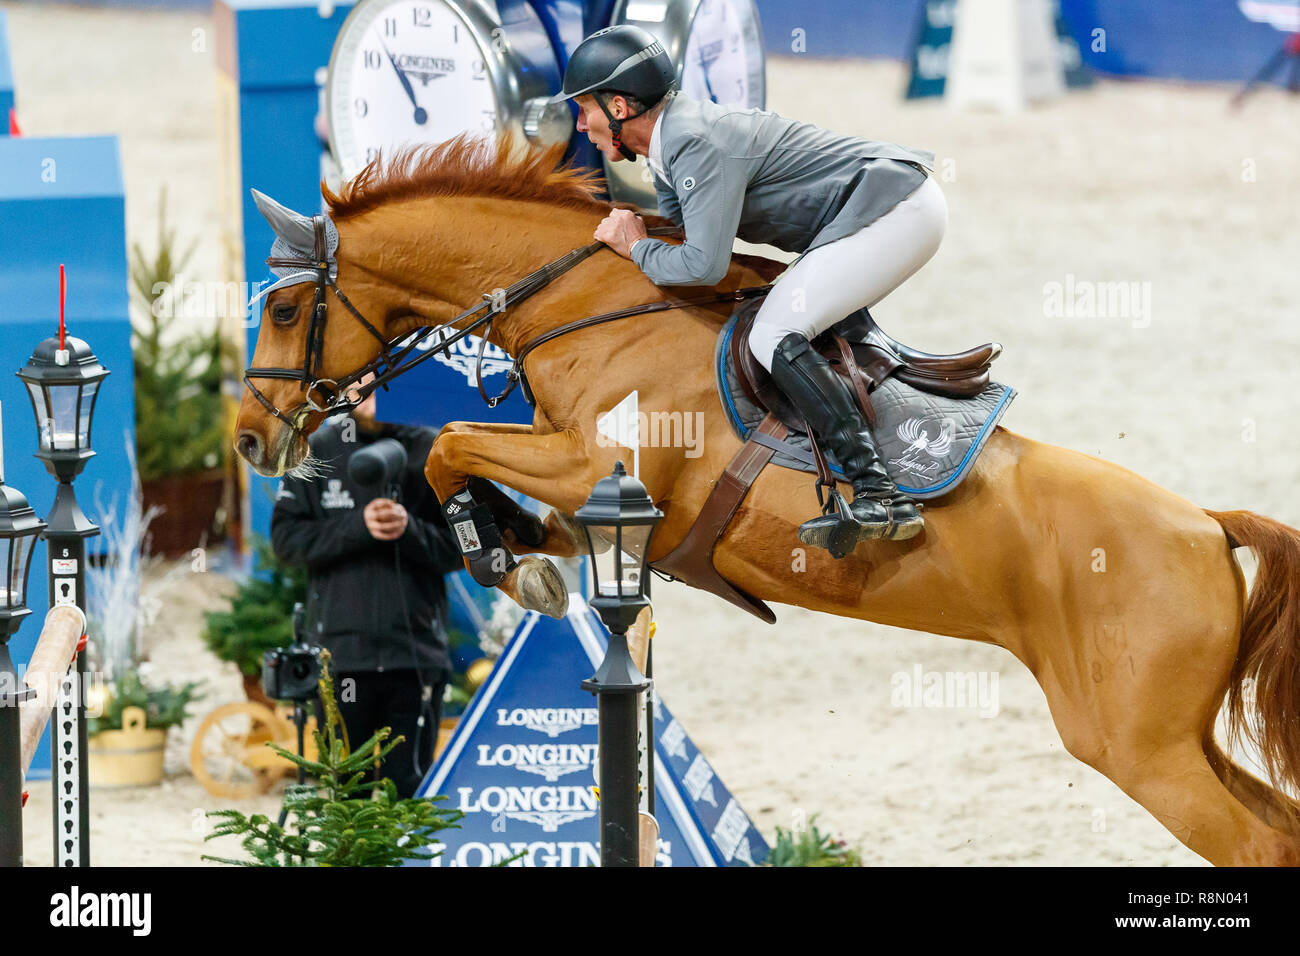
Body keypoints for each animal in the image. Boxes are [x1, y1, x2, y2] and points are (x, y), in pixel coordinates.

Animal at [236, 136, 1300, 868]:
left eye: (284, 309)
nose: (250, 438)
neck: (590, 311)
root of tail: (1209, 528)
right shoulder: (581, 495)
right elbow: (479, 473)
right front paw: (516, 556)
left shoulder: (597, 469)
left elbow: (455, 442)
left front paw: (499, 557)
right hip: (1175, 740)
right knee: (1278, 829)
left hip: (1137, 746)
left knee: (1253, 844)